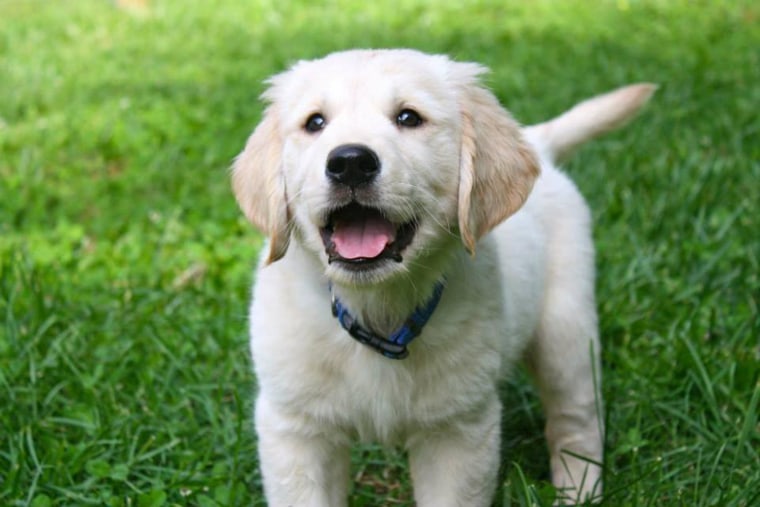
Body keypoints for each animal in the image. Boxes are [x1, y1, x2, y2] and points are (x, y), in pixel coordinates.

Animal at [232, 48, 652, 507]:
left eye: (409, 117)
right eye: (315, 123)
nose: (350, 162)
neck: (377, 308)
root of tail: (537, 143)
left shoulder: (458, 431)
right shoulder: (295, 428)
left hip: (567, 327)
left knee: (576, 419)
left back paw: (579, 490)